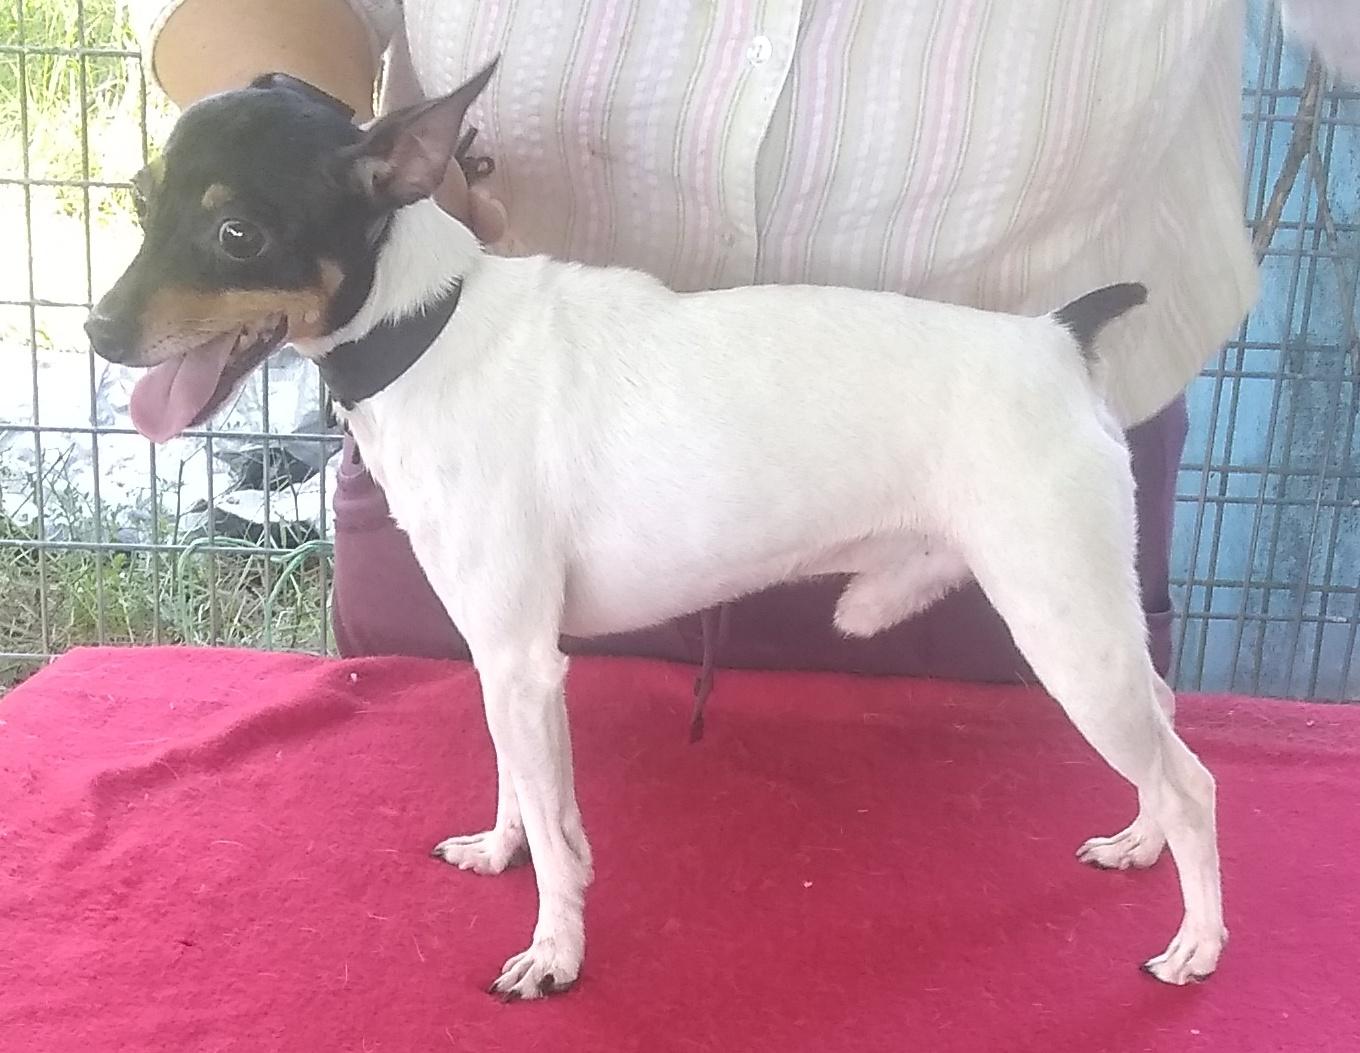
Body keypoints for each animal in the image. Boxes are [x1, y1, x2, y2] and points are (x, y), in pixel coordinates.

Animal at [86, 59, 1226, 1000]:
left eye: (238, 234)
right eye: (140, 199)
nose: (97, 330)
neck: (432, 331)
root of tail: (1057, 337)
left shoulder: (525, 661)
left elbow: (558, 829)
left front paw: (554, 951)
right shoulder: (500, 656)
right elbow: (520, 786)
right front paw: (500, 851)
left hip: (1065, 628)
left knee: (1194, 781)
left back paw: (1196, 944)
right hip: (1097, 627)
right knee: (1165, 731)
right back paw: (1138, 843)